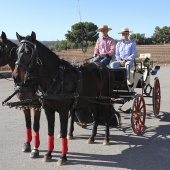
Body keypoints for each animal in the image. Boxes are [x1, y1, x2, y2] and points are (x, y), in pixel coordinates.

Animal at [12, 31, 117, 165]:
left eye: (29, 52)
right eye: (16, 51)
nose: (16, 76)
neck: (56, 78)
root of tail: (104, 67)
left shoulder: (63, 110)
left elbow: (62, 132)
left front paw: (63, 157)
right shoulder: (48, 109)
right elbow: (50, 131)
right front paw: (48, 154)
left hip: (105, 98)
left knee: (107, 114)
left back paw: (106, 139)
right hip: (91, 99)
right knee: (96, 116)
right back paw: (92, 137)